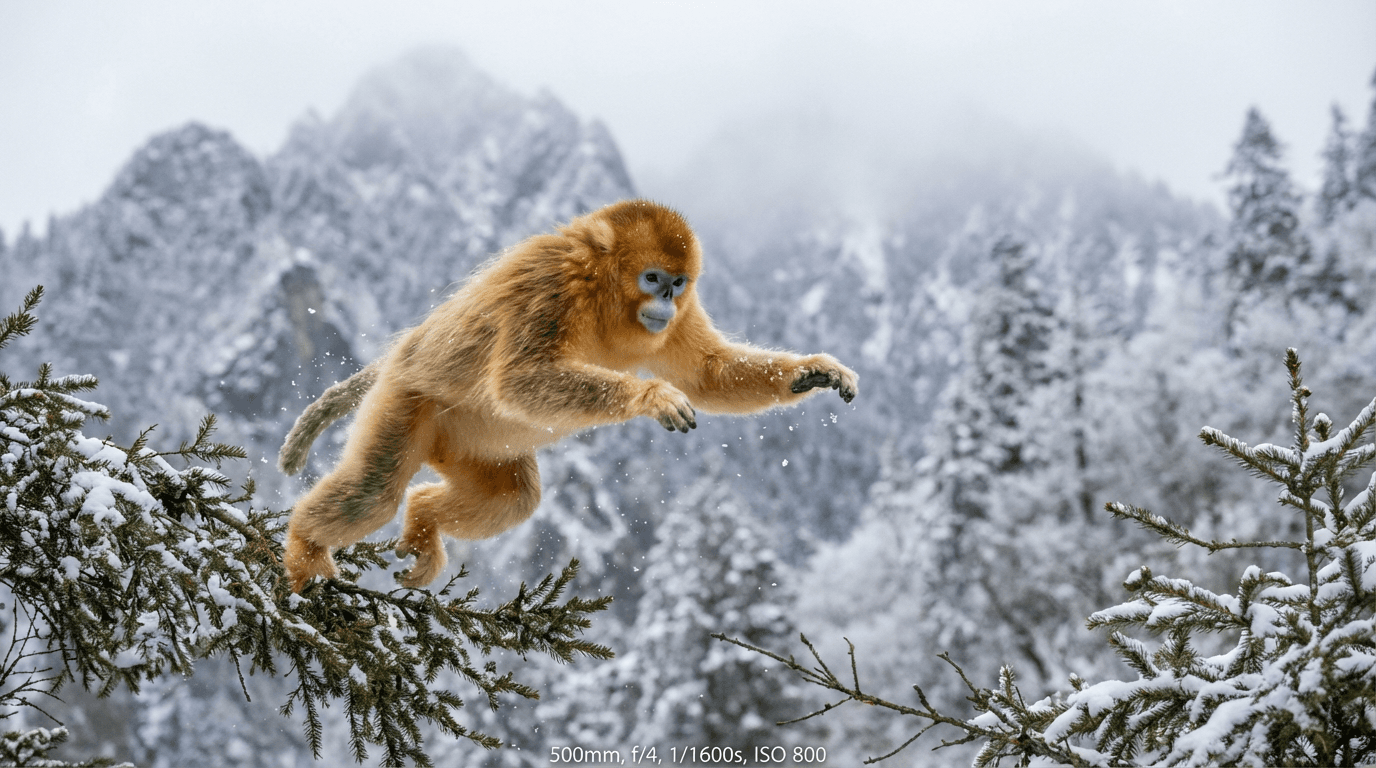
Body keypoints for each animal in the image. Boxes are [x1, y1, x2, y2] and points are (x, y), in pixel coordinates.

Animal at [279, 199, 858, 593]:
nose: (666, 304)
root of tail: (402, 355)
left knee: (513, 498)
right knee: (374, 491)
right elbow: (516, 380)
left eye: (677, 284)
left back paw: (423, 517)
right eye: (652, 279)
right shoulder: (553, 284)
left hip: (466, 438)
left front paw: (811, 371)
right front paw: (649, 396)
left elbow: (706, 374)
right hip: (409, 400)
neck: (603, 295)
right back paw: (305, 543)